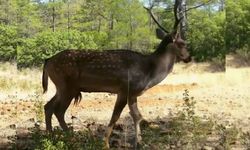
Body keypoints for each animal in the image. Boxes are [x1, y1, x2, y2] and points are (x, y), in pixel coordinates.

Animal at [42, 0, 190, 149]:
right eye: (183, 44)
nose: (189, 58)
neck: (149, 72)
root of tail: (47, 60)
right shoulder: (125, 89)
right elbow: (115, 116)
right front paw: (105, 144)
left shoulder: (133, 93)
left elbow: (137, 116)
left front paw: (139, 142)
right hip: (67, 86)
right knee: (58, 111)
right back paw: (71, 139)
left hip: (62, 87)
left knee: (48, 106)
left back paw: (50, 136)